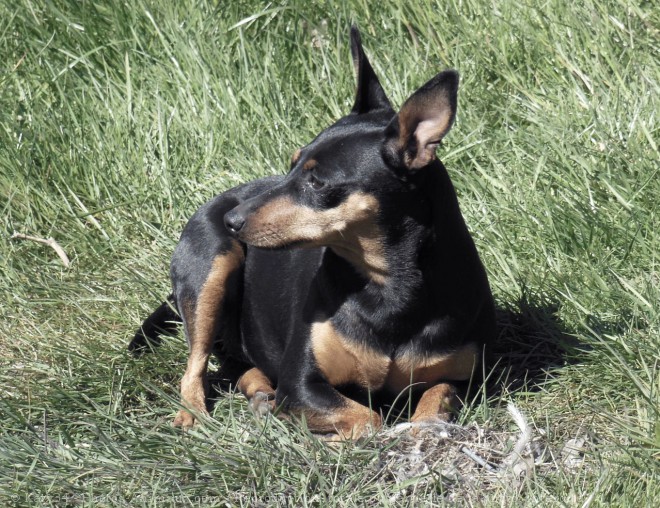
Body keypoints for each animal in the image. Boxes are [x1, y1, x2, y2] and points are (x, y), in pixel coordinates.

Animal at [131, 26, 496, 440]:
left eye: (317, 181)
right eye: (290, 164)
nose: (231, 220)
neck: (387, 286)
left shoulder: (468, 378)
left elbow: (433, 402)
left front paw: (423, 427)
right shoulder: (300, 384)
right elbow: (368, 419)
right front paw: (332, 441)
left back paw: (261, 397)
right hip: (210, 270)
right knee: (196, 362)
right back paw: (194, 414)